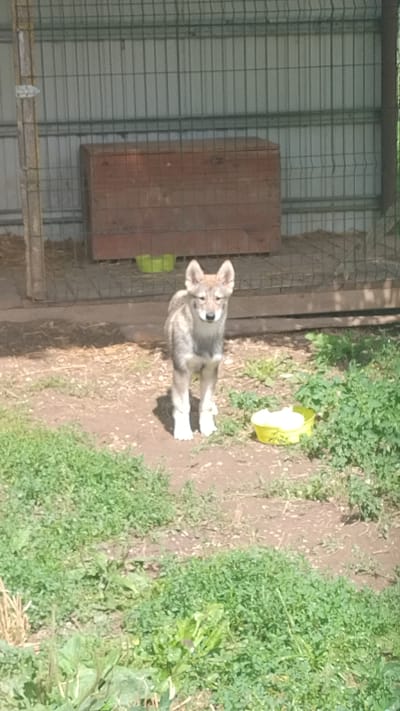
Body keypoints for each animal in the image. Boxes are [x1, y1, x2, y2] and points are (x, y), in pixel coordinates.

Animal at [165, 259, 235, 440]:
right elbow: (183, 406)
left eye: (218, 298)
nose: (210, 316)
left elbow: (205, 405)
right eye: (201, 298)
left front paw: (207, 427)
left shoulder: (210, 370)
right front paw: (183, 430)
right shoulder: (181, 371)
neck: (203, 338)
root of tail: (184, 291)